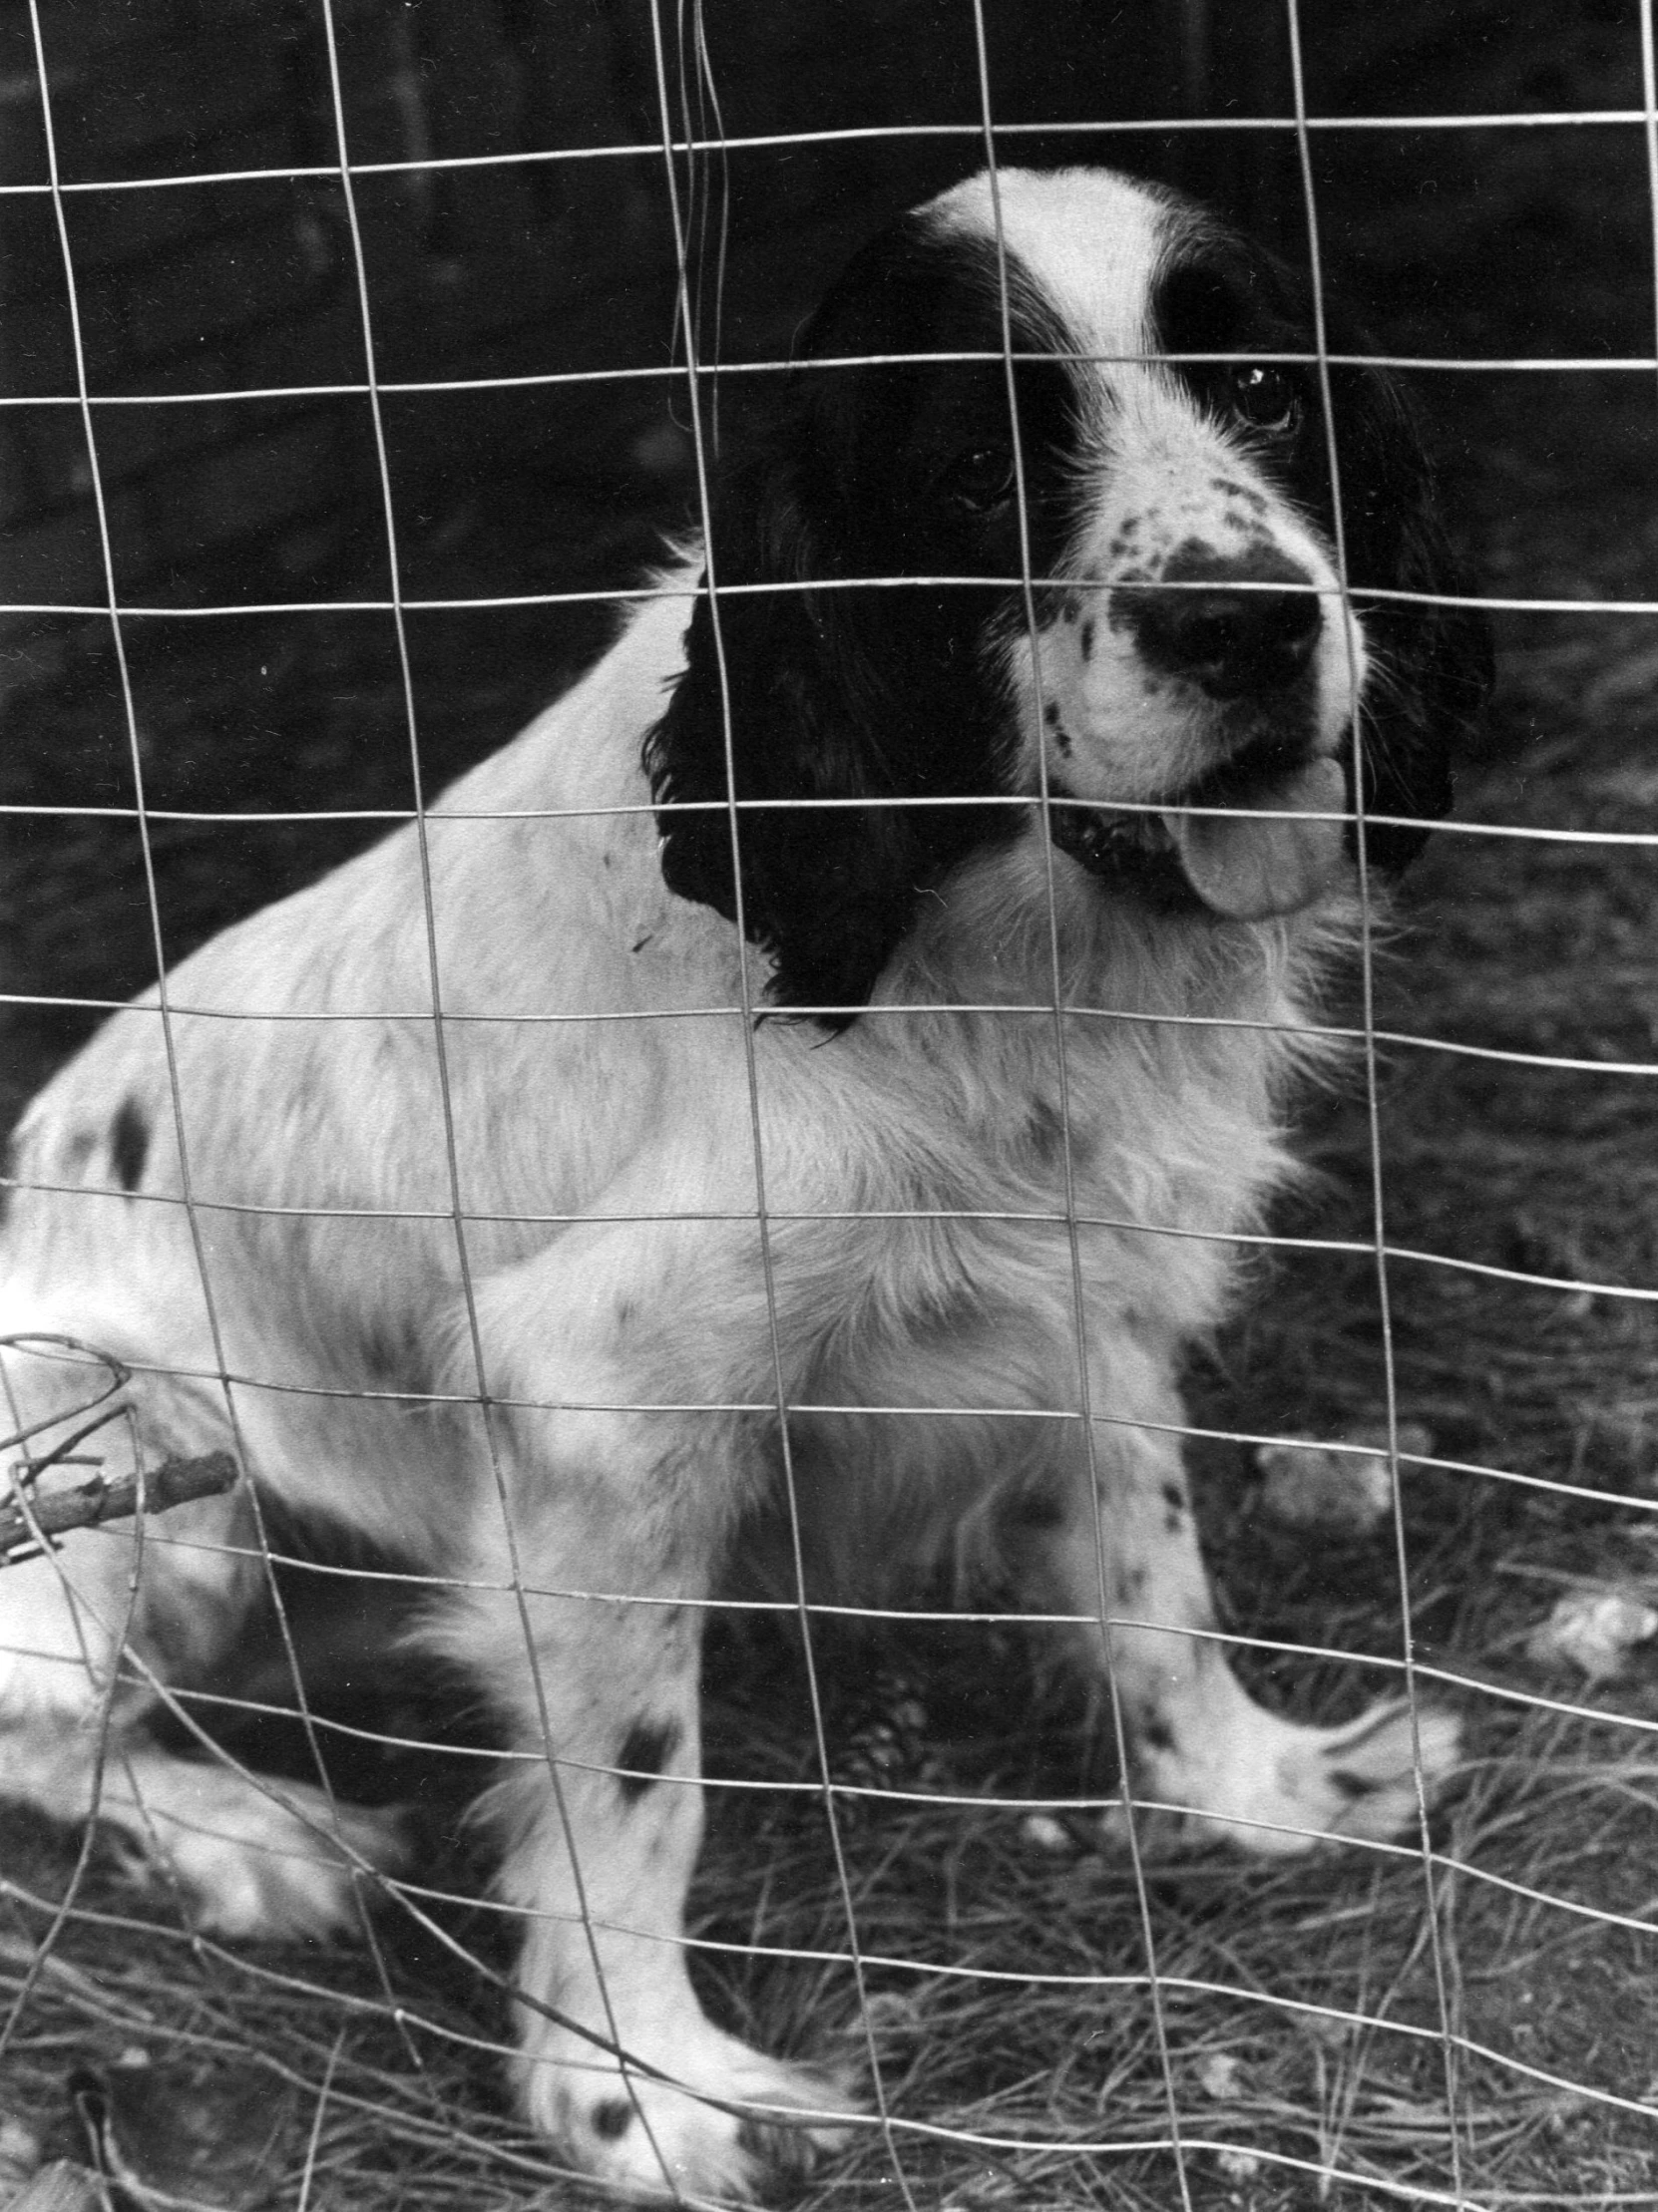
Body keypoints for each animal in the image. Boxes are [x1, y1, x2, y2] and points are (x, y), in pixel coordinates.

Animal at [0, 168, 1496, 2194]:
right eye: (973, 473)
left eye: (1262, 386)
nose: (1241, 625)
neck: (976, 934)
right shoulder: (602, 1410)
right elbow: (636, 1787)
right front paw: (641, 2090)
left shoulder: (1089, 1295)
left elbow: (1152, 1570)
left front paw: (1258, 1787)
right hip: (118, 1427)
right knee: (50, 1725)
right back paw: (256, 1839)